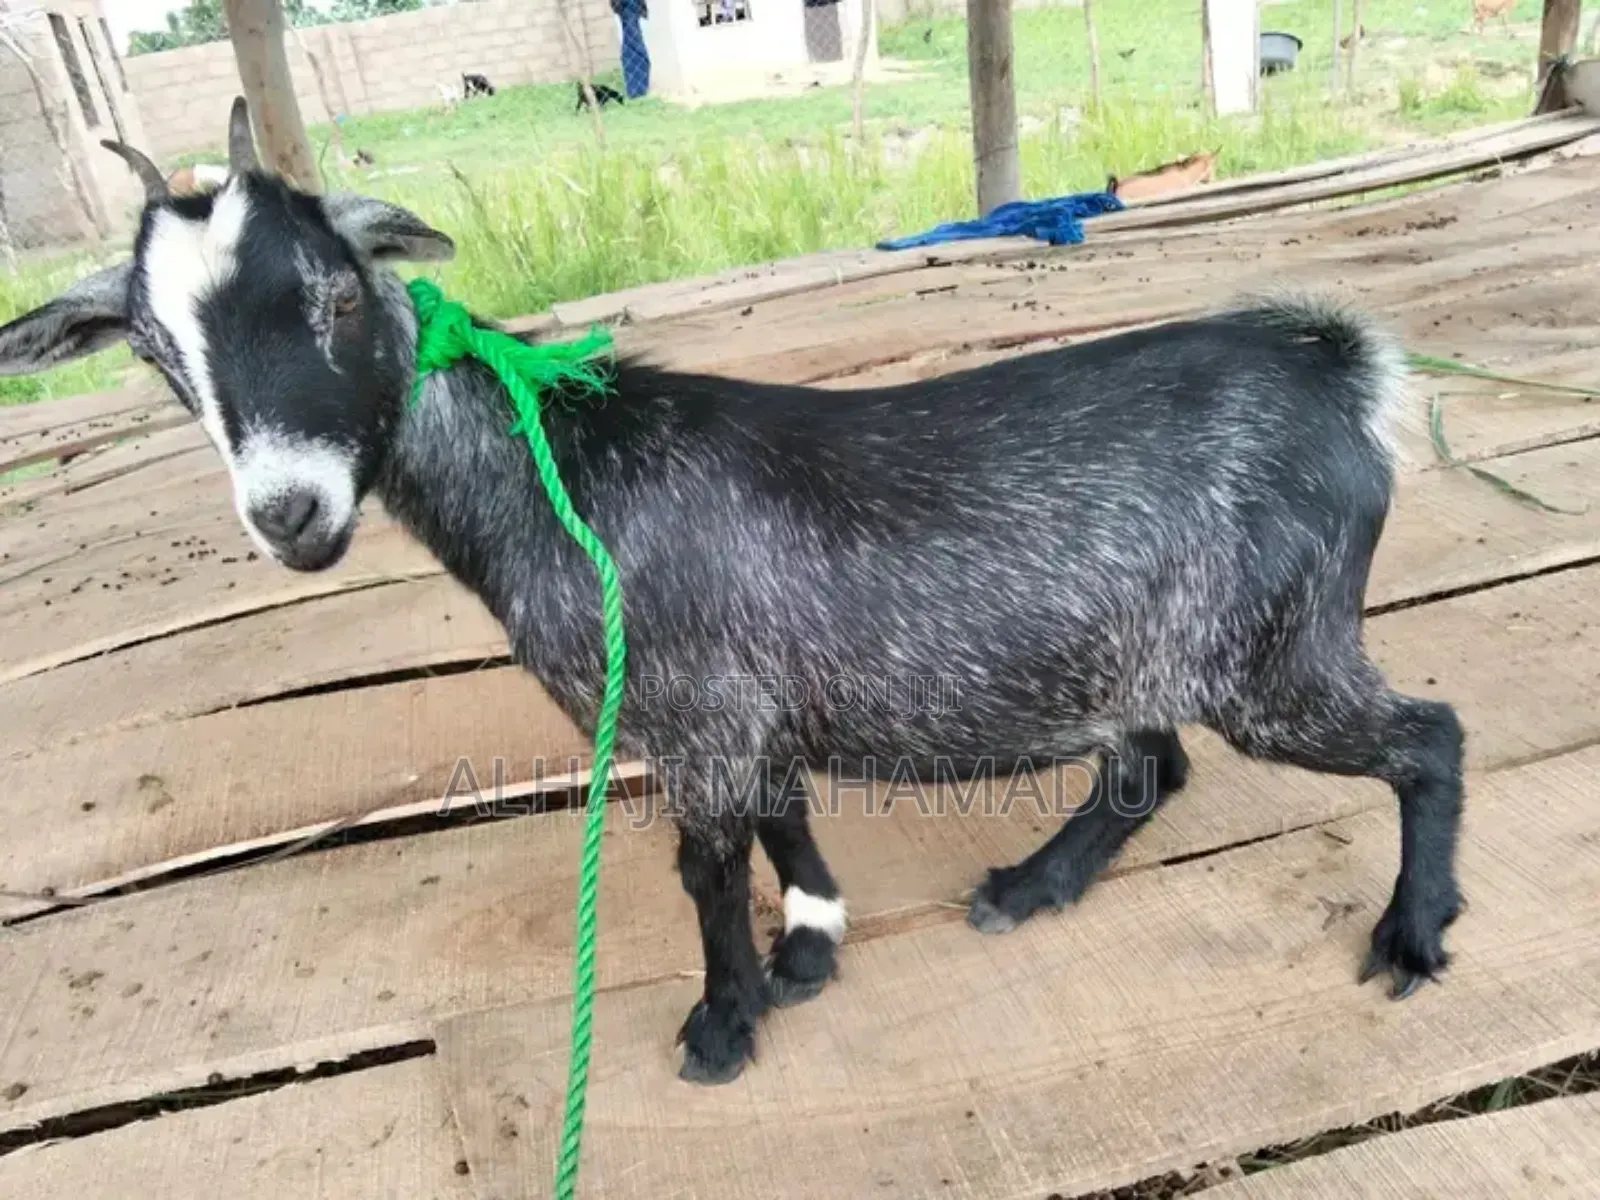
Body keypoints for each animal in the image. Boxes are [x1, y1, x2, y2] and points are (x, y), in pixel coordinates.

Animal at [0, 98, 1465, 1086]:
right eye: (154, 351)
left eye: (338, 295)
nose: (290, 514)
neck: (564, 471)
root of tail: (1336, 374)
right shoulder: (743, 703)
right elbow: (779, 818)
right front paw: (810, 946)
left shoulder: (690, 712)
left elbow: (704, 870)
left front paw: (724, 1021)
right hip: (1146, 641)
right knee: (1150, 764)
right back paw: (1031, 885)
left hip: (1275, 653)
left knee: (1428, 737)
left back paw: (1410, 931)